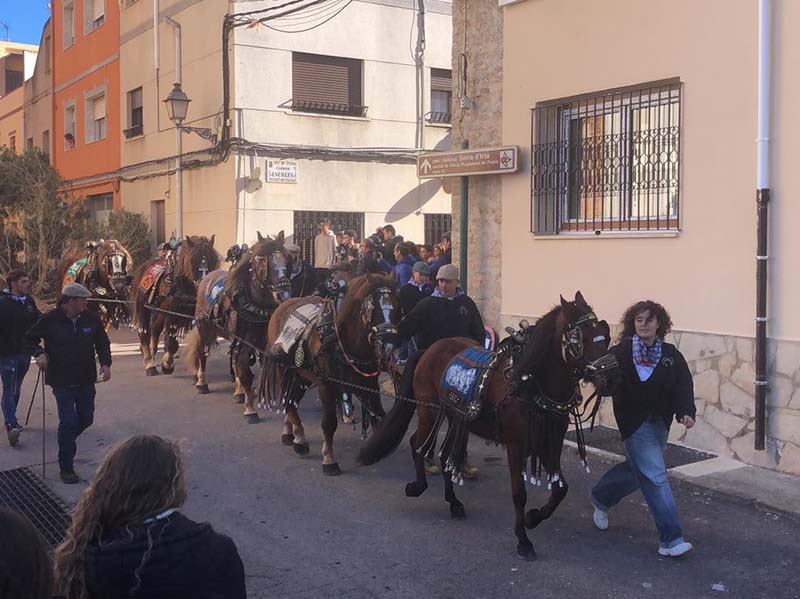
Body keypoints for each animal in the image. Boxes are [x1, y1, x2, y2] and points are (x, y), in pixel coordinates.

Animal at [132, 235, 220, 376]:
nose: (205, 285)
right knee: (144, 332)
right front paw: (167, 364)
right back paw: (149, 364)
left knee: (155, 329)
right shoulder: (171, 314)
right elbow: (172, 343)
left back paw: (153, 353)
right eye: (192, 261)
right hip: (143, 306)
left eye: (214, 259)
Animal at [186, 232, 292, 422]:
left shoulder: (262, 343)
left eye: (286, 259)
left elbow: (257, 369)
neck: (257, 305)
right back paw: (202, 382)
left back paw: (238, 392)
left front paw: (252, 394)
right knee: (203, 353)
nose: (284, 294)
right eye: (262, 261)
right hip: (204, 327)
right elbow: (245, 373)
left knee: (234, 360)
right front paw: (250, 409)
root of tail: (208, 276)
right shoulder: (245, 340)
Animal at [263, 272, 400, 475]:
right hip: (285, 369)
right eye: (371, 308)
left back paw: (290, 432)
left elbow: (379, 417)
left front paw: (374, 451)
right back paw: (300, 439)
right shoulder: (326, 385)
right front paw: (329, 459)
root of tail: (283, 305)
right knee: (289, 401)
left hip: (301, 376)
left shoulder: (369, 385)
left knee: (292, 399)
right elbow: (329, 423)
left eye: (396, 306)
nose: (388, 346)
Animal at [358, 291, 616, 559]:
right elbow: (519, 493)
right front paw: (523, 539)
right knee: (417, 443)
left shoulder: (549, 444)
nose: (610, 377)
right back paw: (417, 486)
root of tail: (429, 349)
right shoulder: (516, 445)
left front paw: (533, 518)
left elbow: (560, 489)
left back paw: (454, 503)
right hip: (428, 409)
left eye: (603, 333)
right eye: (580, 337)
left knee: (446, 456)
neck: (529, 384)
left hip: (457, 417)